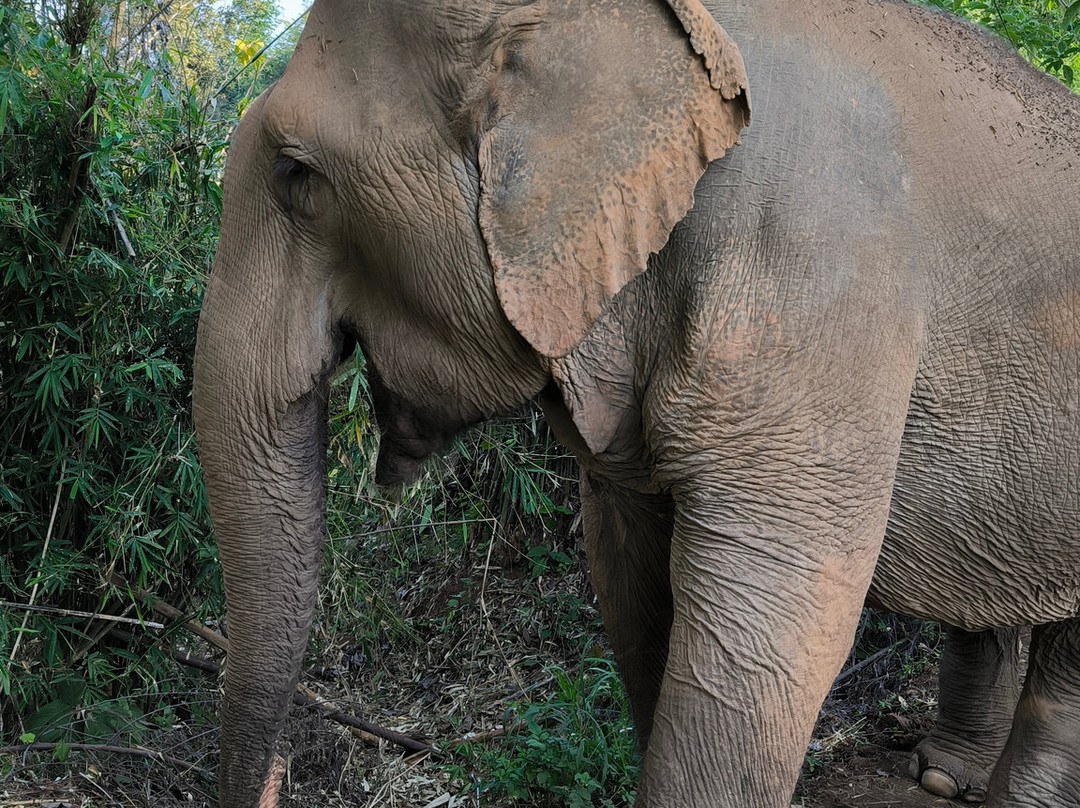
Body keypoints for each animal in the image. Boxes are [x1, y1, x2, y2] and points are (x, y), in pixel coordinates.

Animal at [191, 0, 1080, 805]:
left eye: (295, 175)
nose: (284, 769)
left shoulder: (821, 290)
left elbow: (767, 628)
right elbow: (633, 581)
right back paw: (946, 777)